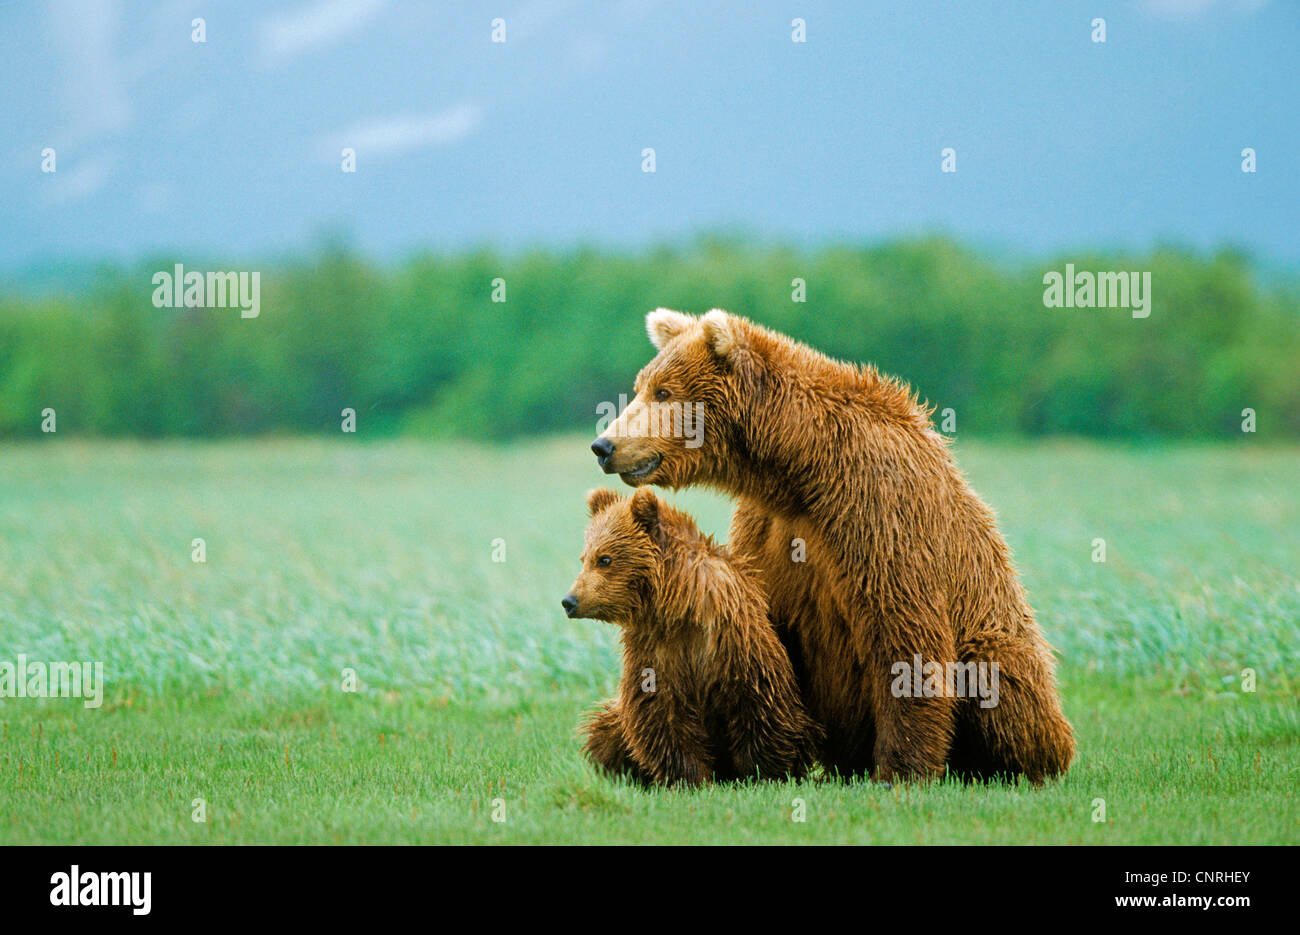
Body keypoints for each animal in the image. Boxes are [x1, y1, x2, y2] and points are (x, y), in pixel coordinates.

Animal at [561, 486, 821, 785]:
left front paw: (762, 772)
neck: (678, 607)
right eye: (584, 558)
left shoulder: (733, 640)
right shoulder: (655, 649)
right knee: (605, 729)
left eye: (604, 559)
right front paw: (688, 777)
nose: (569, 601)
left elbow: (758, 703)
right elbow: (660, 714)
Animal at [590, 310, 1076, 785]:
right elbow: (759, 626)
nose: (604, 445)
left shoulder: (877, 508)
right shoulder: (770, 528)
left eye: (664, 391)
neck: (801, 470)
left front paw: (901, 768)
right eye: (641, 386)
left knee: (1000, 678)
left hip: (1003, 641)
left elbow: (903, 630)